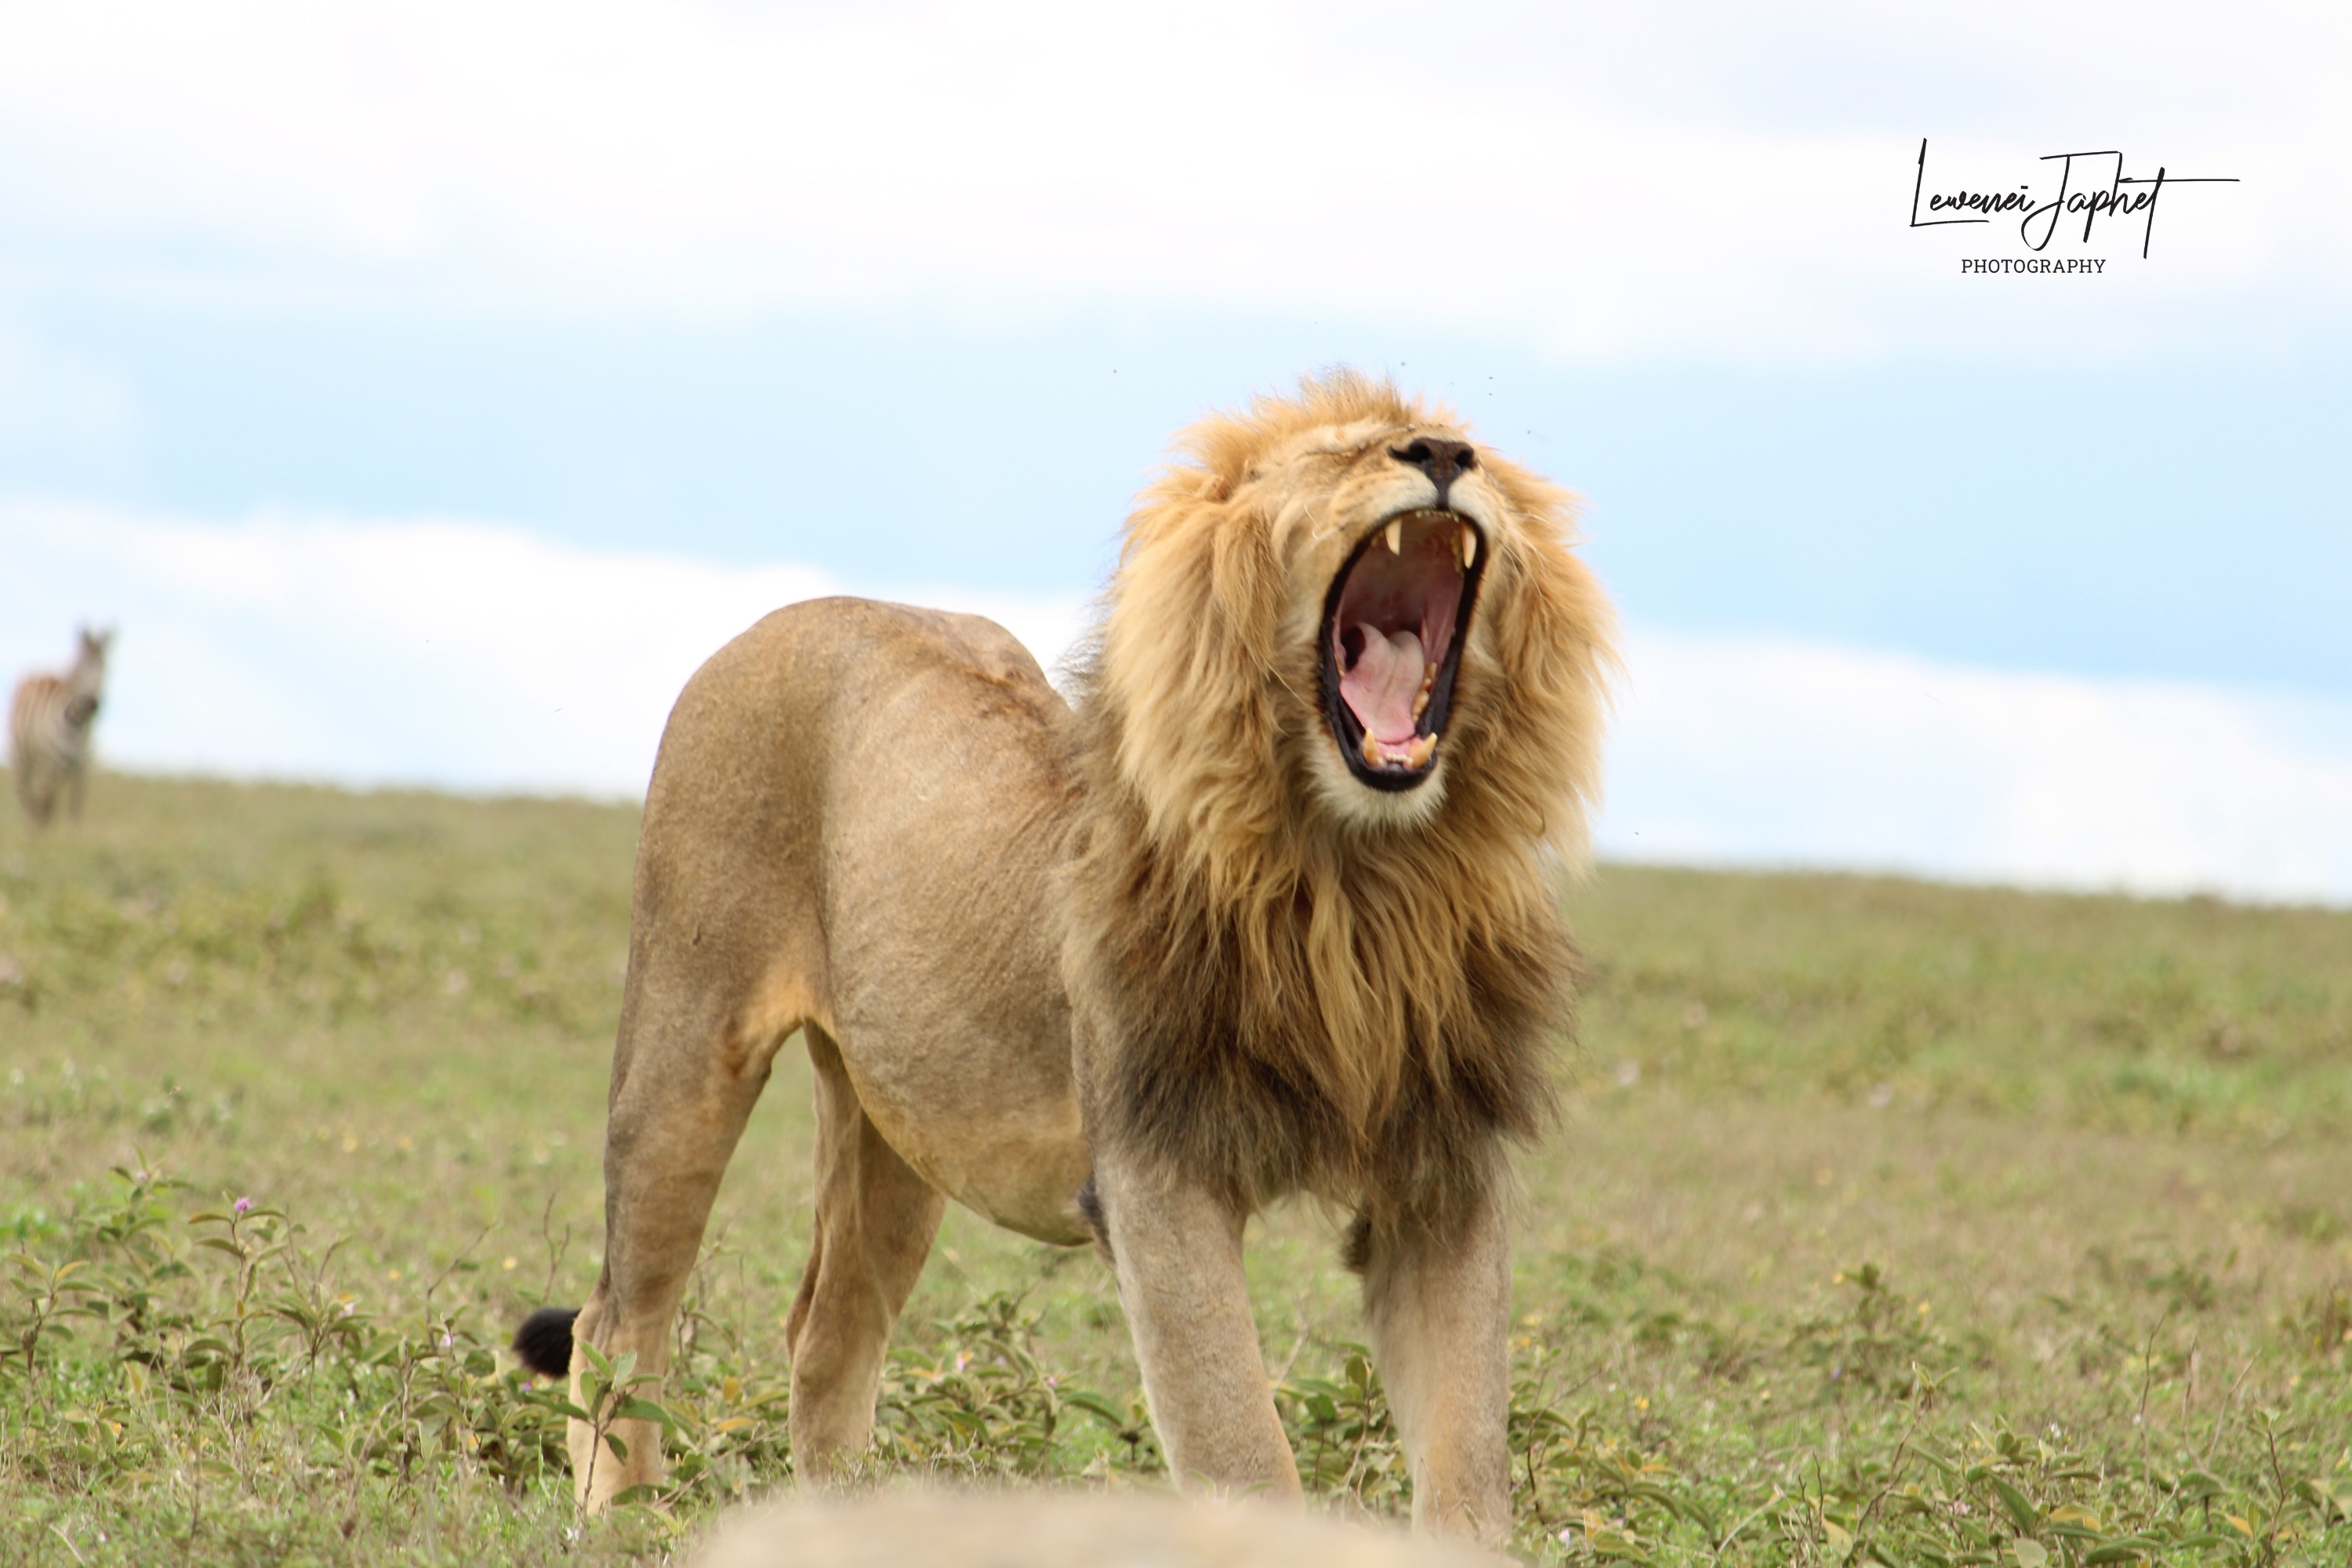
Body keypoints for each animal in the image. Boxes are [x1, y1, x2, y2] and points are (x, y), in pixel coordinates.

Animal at [9, 625, 112, 827]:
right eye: (82, 669)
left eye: (104, 666)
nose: (92, 704)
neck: (79, 726)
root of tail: (40, 670)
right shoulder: (51, 762)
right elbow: (47, 798)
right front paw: (41, 825)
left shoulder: (81, 766)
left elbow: (75, 805)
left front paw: (73, 832)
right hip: (23, 753)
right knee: (26, 789)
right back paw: (32, 821)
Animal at [515, 376, 1618, 1542]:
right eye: (1341, 453)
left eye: (1478, 454)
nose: (1445, 455)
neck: (1356, 881)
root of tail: (790, 612)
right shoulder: (1154, 1175)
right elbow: (1242, 1450)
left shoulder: (1440, 1177)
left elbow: (1469, 1468)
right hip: (685, 1048)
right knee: (617, 1318)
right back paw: (618, 1522)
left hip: (898, 1126)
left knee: (827, 1337)